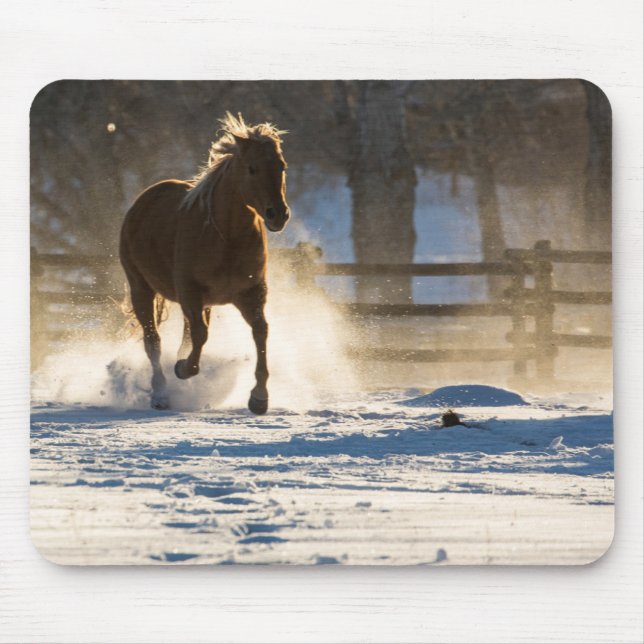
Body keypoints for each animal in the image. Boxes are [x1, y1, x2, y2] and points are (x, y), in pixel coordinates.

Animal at [119, 112, 290, 413]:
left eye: (281, 166)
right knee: (153, 341)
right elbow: (200, 335)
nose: (277, 215)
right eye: (252, 168)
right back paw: (161, 395)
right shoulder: (190, 292)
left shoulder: (251, 294)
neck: (227, 239)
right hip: (141, 288)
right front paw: (183, 368)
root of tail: (141, 202)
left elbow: (260, 331)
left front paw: (259, 398)